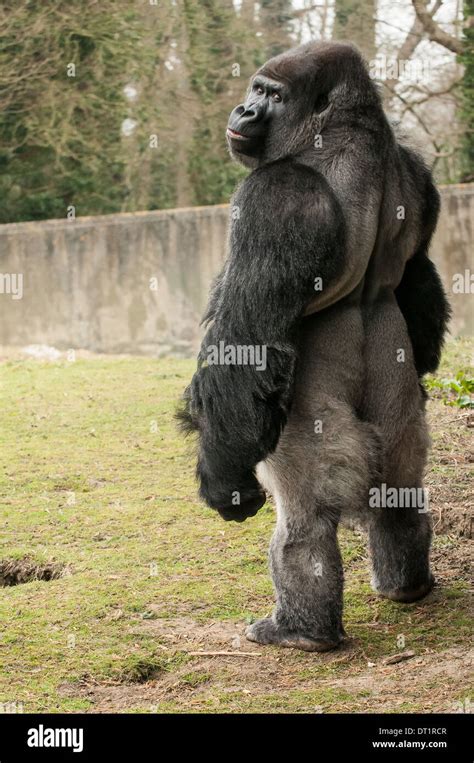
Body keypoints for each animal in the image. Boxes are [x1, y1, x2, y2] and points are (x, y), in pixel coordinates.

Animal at [178, 40, 448, 652]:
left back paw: (303, 632)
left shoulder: (272, 196)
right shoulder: (422, 177)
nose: (244, 110)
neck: (347, 128)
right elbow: (415, 277)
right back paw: (406, 586)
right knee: (399, 490)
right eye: (255, 90)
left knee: (304, 523)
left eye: (270, 95)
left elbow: (245, 346)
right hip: (399, 420)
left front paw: (223, 483)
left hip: (310, 429)